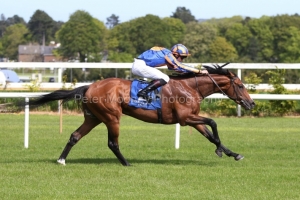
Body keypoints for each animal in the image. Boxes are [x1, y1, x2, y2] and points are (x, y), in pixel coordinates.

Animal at [26, 63, 255, 166]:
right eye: (241, 85)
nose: (251, 103)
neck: (190, 87)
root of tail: (89, 86)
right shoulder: (184, 119)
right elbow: (213, 123)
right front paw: (220, 150)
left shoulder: (192, 119)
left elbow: (209, 134)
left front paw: (231, 153)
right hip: (111, 117)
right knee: (112, 143)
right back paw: (127, 163)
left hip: (94, 118)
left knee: (75, 136)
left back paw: (61, 159)